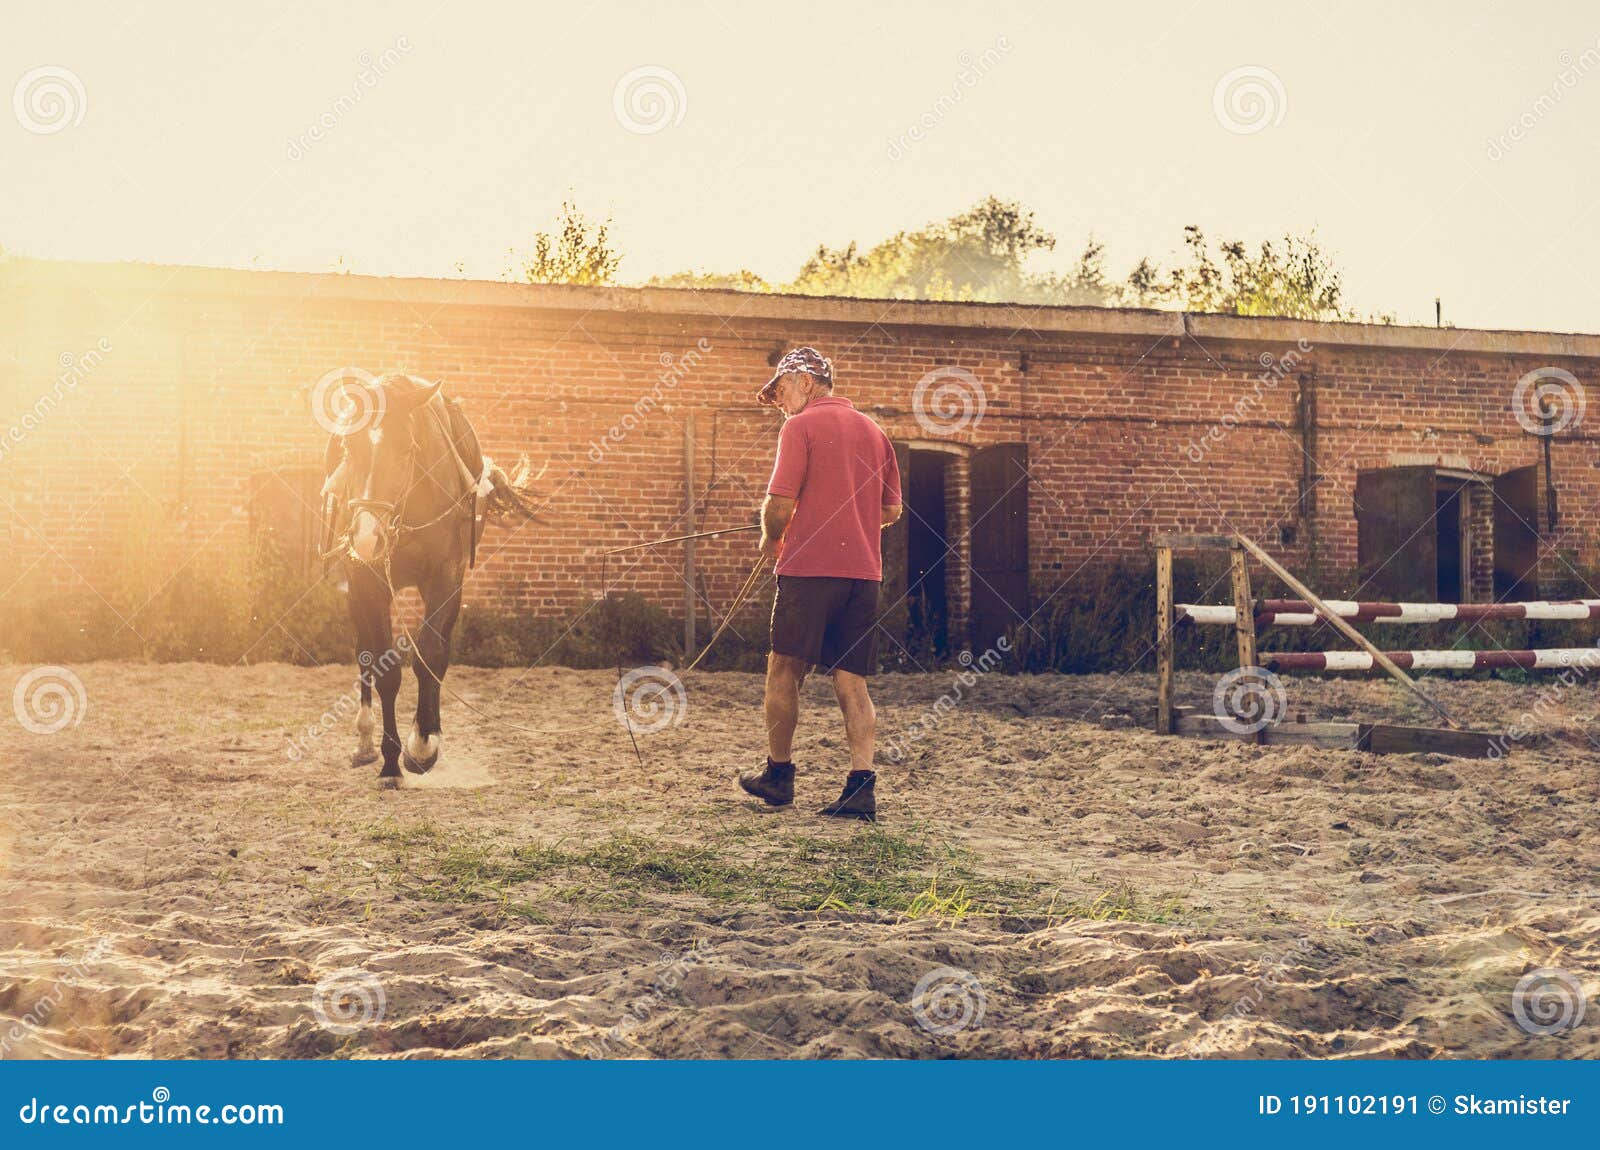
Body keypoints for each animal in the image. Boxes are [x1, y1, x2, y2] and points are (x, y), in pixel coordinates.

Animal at [320, 373, 534, 788]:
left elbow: (431, 653)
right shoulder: (367, 583)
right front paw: (389, 762)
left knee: (438, 648)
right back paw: (364, 742)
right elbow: (383, 668)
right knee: (363, 652)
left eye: (406, 450)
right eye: (349, 449)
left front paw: (422, 745)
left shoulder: (445, 576)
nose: (367, 537)